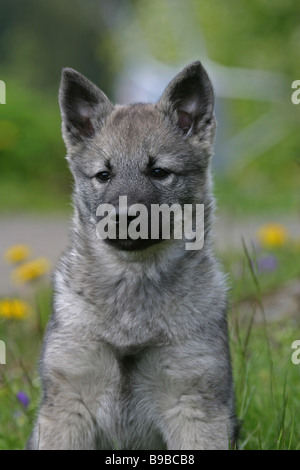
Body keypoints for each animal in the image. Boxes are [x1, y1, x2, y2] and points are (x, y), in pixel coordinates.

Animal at [28, 60, 238, 450]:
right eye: (103, 175)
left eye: (159, 172)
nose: (124, 217)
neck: (133, 280)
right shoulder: (69, 402)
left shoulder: (194, 404)